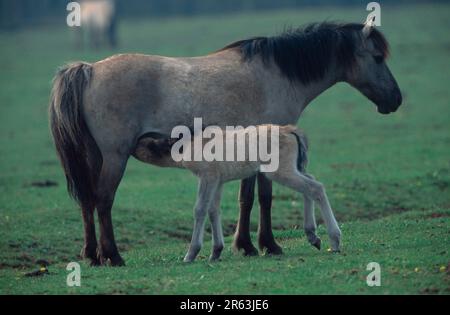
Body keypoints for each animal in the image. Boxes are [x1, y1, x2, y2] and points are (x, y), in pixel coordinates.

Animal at [134, 124, 342, 262]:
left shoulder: (207, 177)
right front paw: (216, 252)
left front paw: (191, 253)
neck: (188, 145)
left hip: (279, 171)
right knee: (310, 182)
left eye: (145, 145)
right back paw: (313, 235)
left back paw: (334, 240)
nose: (133, 145)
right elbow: (214, 210)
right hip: (293, 168)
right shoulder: (218, 181)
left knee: (315, 187)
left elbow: (200, 209)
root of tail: (291, 130)